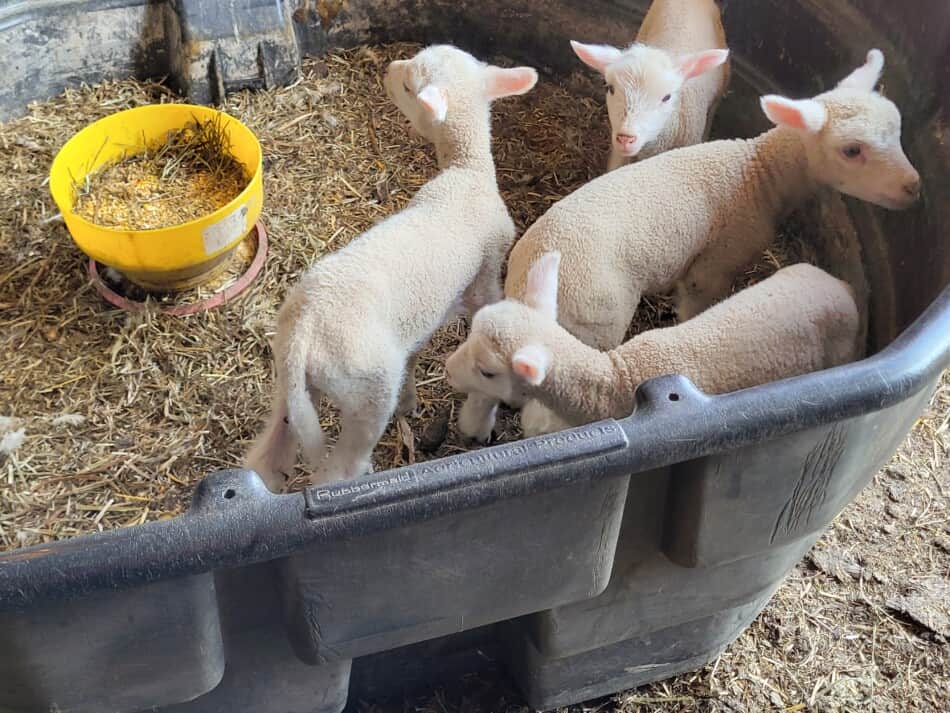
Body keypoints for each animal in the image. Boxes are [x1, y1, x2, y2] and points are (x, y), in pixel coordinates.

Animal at [245, 44, 540, 490]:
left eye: (407, 86)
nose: (387, 69)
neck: (466, 172)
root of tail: (304, 333)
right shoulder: (487, 273)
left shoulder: (422, 316)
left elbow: (416, 351)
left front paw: (411, 402)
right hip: (367, 390)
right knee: (339, 469)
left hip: (289, 385)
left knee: (268, 454)